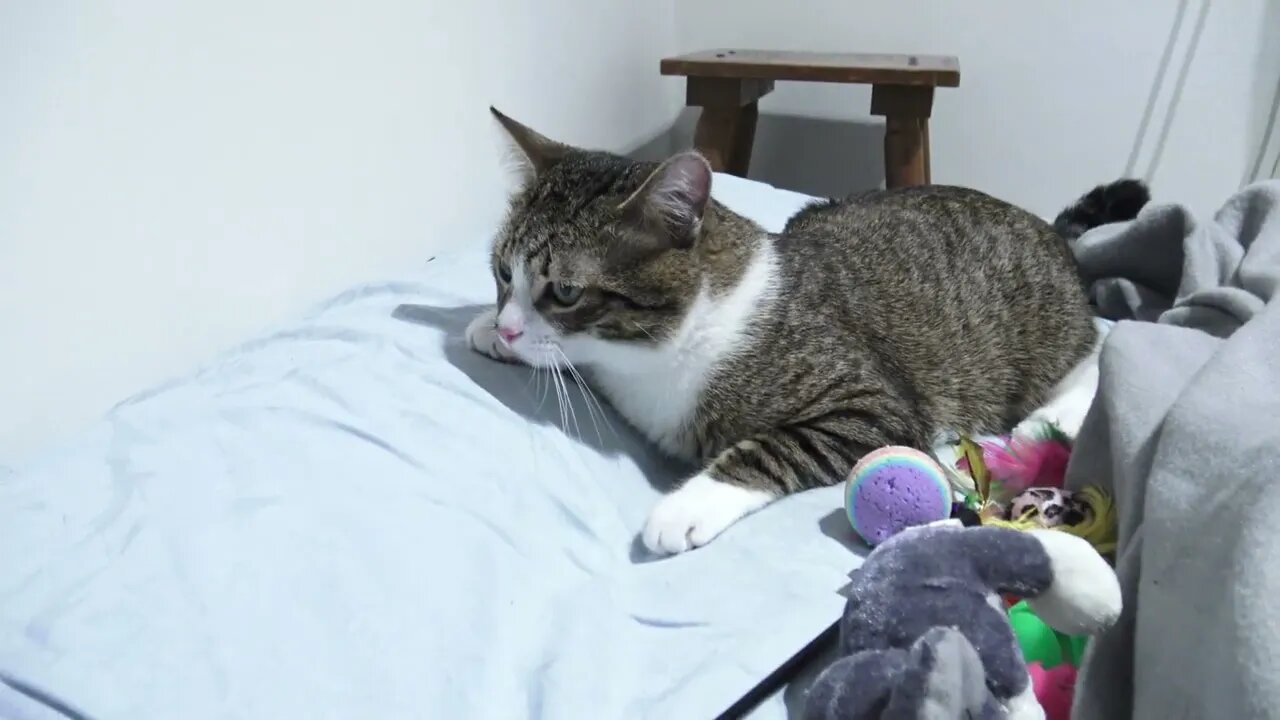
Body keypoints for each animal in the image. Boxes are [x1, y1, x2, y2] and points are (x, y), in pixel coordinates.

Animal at [465, 106, 1146, 556]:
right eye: (502, 272)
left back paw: (1047, 416)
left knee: (1099, 344)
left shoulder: (873, 406)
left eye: (566, 292)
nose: (508, 328)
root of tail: (1049, 230)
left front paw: (689, 504)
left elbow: (773, 446)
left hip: (1043, 324)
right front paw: (487, 329)